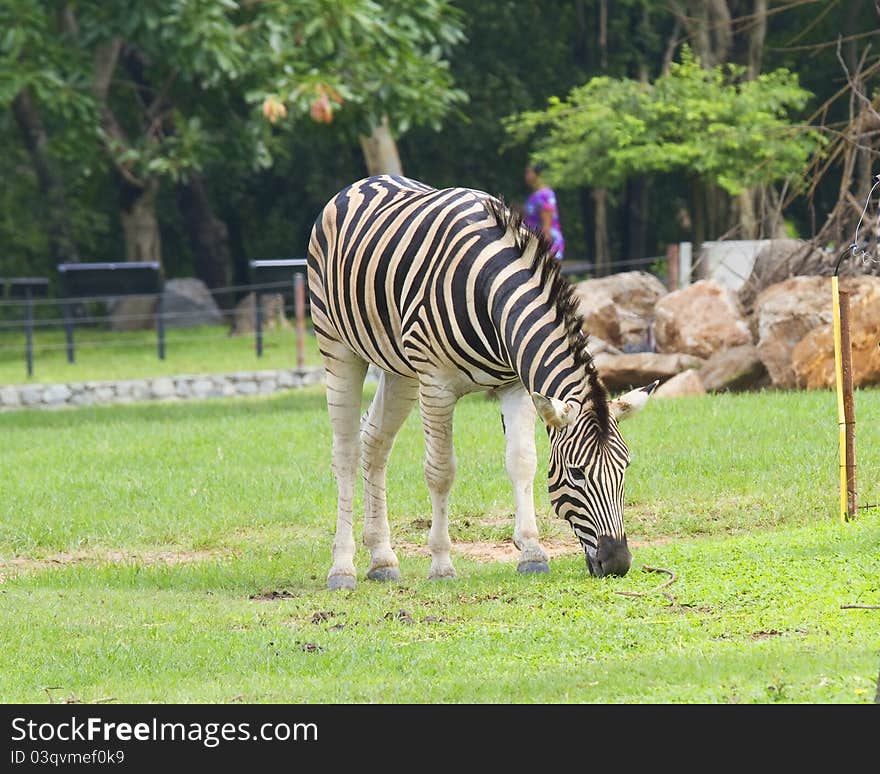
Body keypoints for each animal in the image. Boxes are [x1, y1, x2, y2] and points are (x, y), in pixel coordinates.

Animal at [306, 173, 656, 592]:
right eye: (576, 473)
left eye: (626, 467)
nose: (618, 563)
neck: (492, 291)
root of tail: (367, 181)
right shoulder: (436, 384)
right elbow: (441, 471)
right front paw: (441, 564)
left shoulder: (516, 384)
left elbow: (522, 461)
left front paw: (533, 554)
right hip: (338, 346)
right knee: (345, 452)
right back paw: (342, 569)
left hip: (400, 370)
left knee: (374, 442)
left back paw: (382, 559)